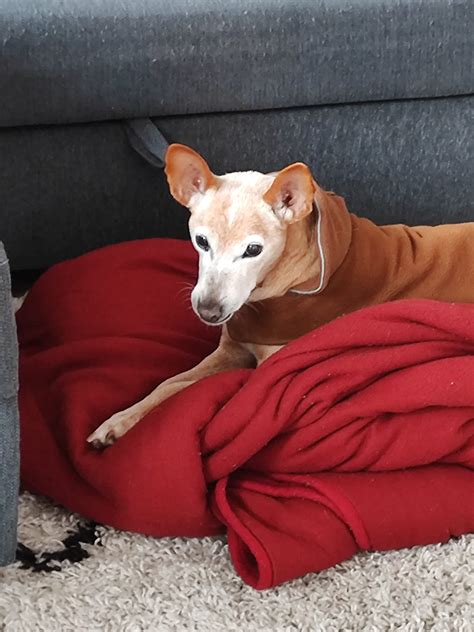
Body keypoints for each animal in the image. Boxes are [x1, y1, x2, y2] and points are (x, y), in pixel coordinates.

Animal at [87, 143, 474, 448]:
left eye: (253, 250)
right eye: (201, 241)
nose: (208, 311)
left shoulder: (264, 370)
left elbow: (183, 391)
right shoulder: (230, 350)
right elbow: (168, 384)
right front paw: (118, 420)